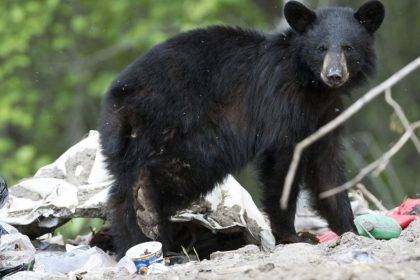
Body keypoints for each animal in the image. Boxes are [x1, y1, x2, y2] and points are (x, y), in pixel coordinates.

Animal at [98, 0, 384, 258]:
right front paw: (292, 236)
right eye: (321, 48)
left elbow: (326, 169)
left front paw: (351, 230)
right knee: (158, 176)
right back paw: (148, 227)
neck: (313, 87)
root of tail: (117, 99)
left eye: (348, 48)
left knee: (126, 186)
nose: (334, 75)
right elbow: (281, 166)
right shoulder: (281, 106)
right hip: (179, 129)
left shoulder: (324, 117)